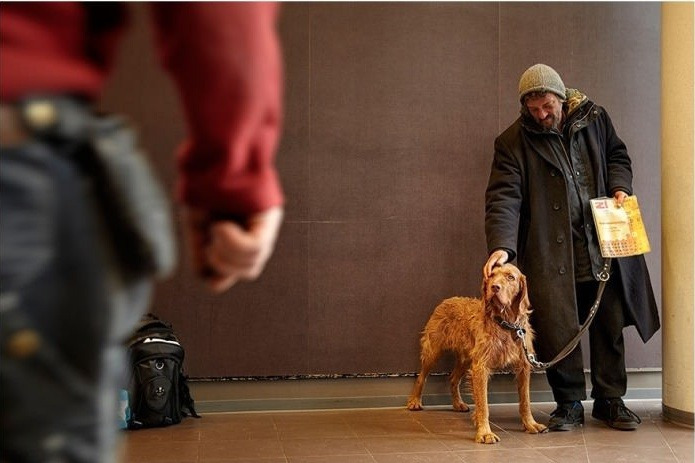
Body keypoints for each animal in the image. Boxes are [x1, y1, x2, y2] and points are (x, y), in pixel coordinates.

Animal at [408, 264, 548, 442]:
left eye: (511, 277)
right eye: (492, 275)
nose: (495, 287)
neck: (505, 324)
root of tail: (447, 300)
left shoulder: (523, 366)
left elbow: (526, 400)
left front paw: (531, 424)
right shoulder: (480, 367)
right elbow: (483, 404)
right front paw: (485, 432)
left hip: (466, 359)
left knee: (453, 379)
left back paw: (458, 404)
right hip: (433, 351)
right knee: (421, 377)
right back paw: (414, 401)